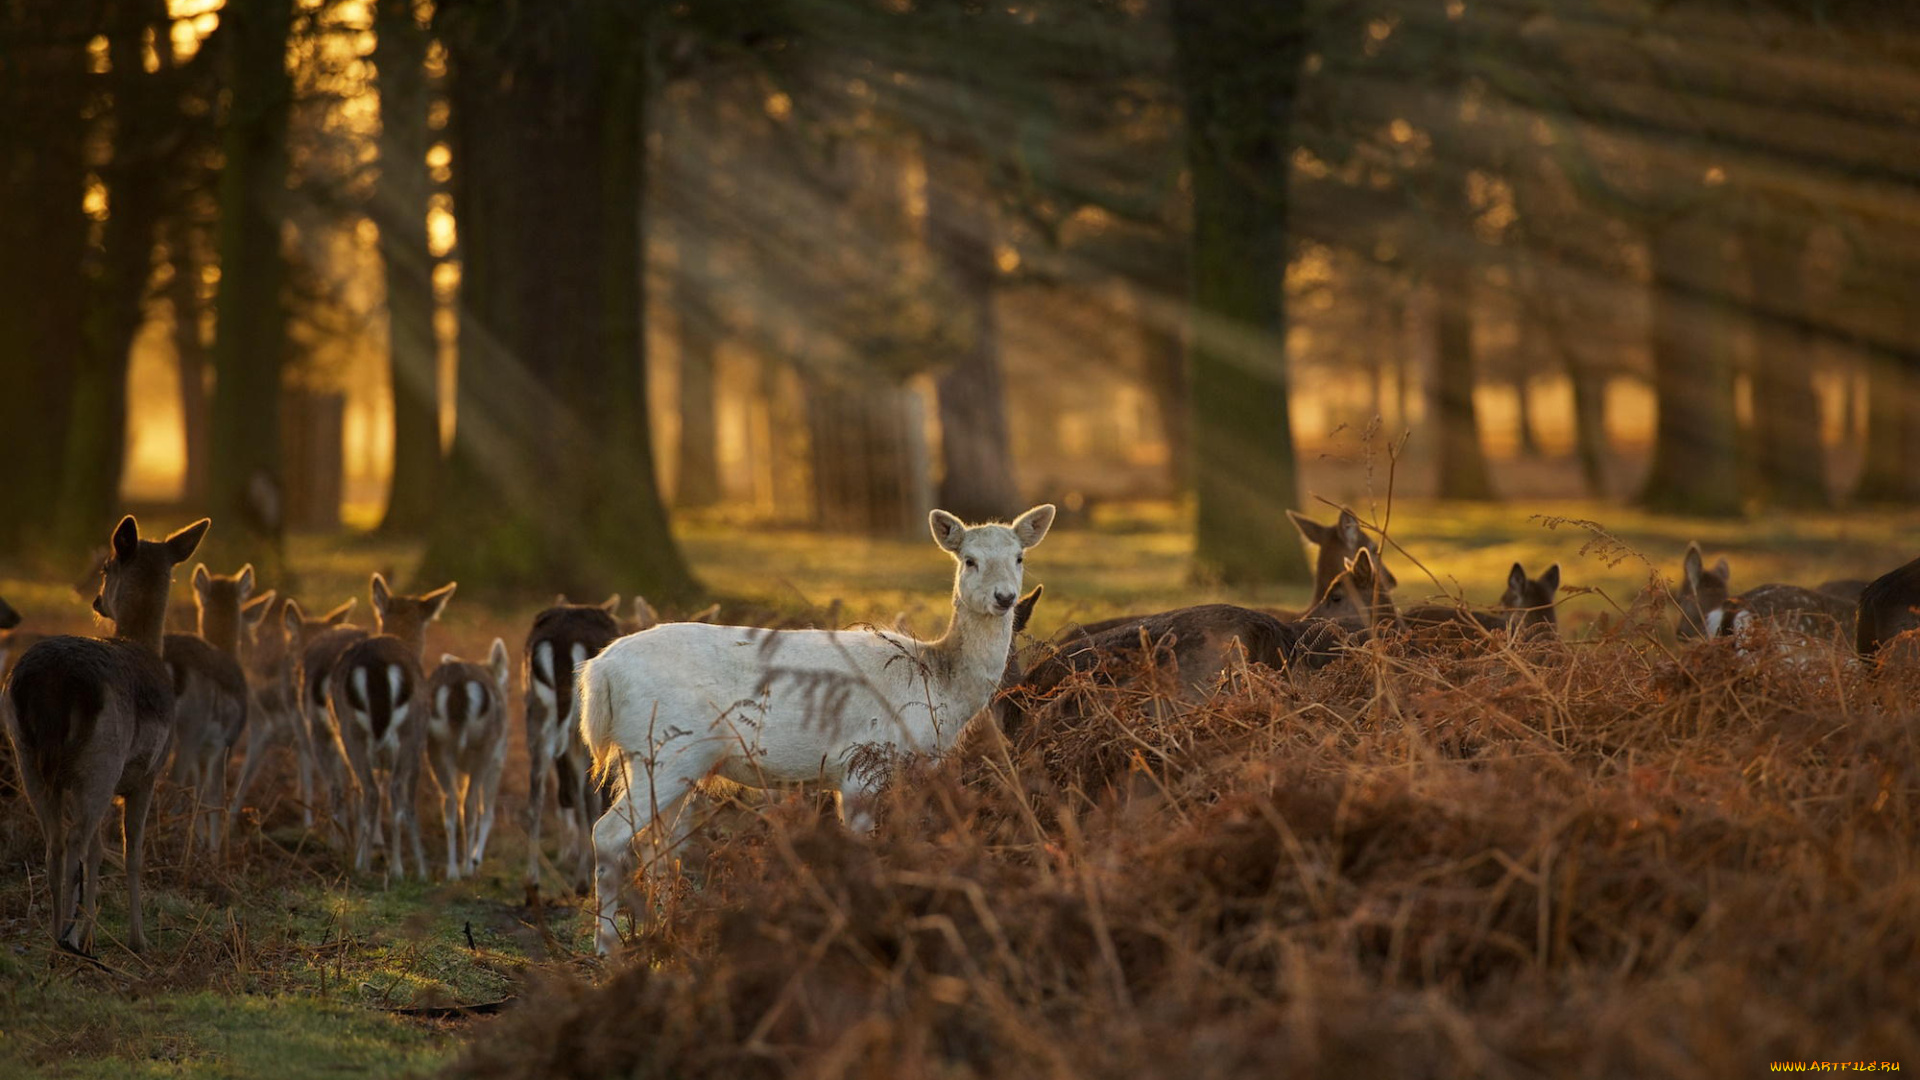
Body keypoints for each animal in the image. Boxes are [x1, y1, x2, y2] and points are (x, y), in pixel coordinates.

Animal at [2, 515, 208, 949]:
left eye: (104, 568)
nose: (97, 602)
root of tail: (52, 684)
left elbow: (100, 852)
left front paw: (94, 932)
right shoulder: (147, 774)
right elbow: (131, 852)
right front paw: (137, 938)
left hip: (28, 757)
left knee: (56, 844)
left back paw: (58, 939)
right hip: (101, 759)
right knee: (75, 841)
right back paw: (68, 938)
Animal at [328, 572, 455, 876]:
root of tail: (376, 666)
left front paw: (372, 850)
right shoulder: (419, 744)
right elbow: (408, 800)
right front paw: (420, 867)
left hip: (350, 731)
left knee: (368, 789)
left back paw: (361, 864)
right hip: (408, 731)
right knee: (393, 791)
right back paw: (397, 868)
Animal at [428, 638, 514, 876]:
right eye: (506, 683)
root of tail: (458, 687)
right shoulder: (497, 760)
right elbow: (487, 811)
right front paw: (476, 859)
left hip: (435, 745)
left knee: (449, 801)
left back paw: (452, 870)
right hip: (484, 748)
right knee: (469, 804)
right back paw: (467, 867)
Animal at [522, 591, 618, 895]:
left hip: (536, 711)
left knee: (537, 791)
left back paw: (533, 884)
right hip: (584, 722)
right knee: (589, 791)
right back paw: (582, 881)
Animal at [576, 503, 1059, 949]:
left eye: (1019, 557)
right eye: (969, 560)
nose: (1004, 597)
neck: (938, 684)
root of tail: (600, 671)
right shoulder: (863, 762)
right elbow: (860, 846)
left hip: (673, 762)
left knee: (655, 842)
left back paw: (662, 930)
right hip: (662, 749)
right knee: (609, 833)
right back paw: (608, 945)